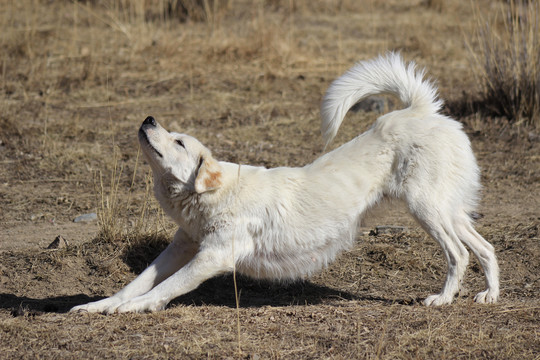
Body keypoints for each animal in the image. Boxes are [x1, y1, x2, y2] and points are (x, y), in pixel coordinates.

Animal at [70, 52, 498, 312]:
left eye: (179, 141)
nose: (149, 119)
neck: (213, 193)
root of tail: (419, 110)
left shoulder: (213, 256)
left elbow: (166, 287)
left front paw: (132, 308)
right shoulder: (180, 248)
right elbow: (137, 282)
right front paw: (99, 306)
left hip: (426, 209)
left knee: (459, 254)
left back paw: (442, 299)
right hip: (448, 211)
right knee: (486, 248)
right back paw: (490, 295)